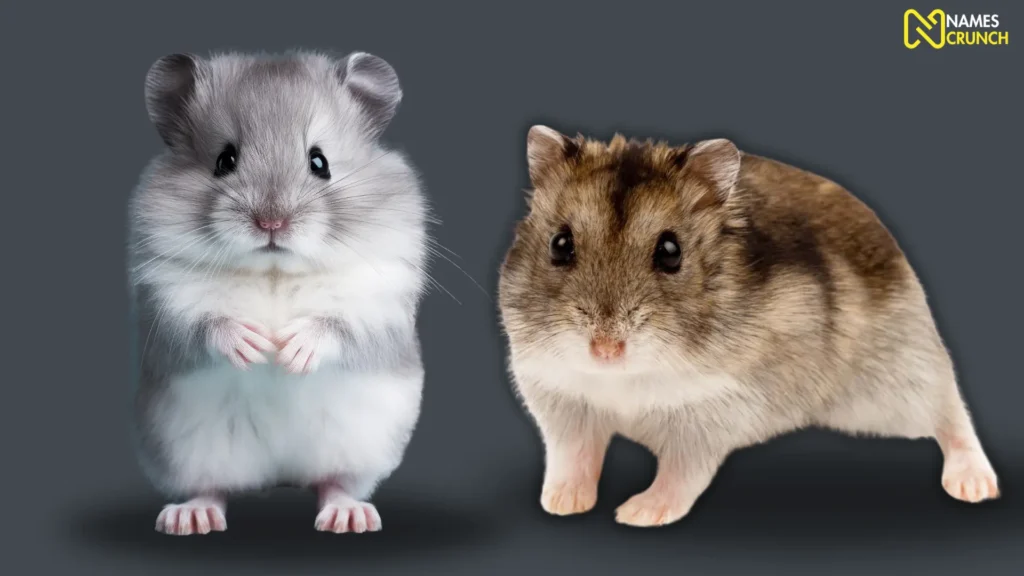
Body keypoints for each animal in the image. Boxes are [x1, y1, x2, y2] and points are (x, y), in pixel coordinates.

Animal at [127, 50, 428, 535]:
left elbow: (336, 325)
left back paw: (348, 516)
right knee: (211, 486)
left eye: (320, 162)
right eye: (224, 160)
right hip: (185, 449)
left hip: (361, 447)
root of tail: (279, 477)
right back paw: (191, 517)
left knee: (332, 482)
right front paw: (255, 346)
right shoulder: (166, 302)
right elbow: (206, 324)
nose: (271, 223)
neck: (274, 271)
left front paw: (289, 352)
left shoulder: (379, 305)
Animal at [497, 126, 1000, 528]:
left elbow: (682, 474)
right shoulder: (563, 402)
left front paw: (637, 514)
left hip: (899, 381)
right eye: (560, 244)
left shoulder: (708, 413)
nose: (605, 350)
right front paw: (560, 504)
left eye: (671, 252)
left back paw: (976, 487)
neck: (624, 381)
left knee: (951, 411)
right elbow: (574, 457)